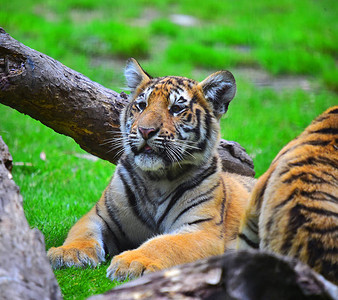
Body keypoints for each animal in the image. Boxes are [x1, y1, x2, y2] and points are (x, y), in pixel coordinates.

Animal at [46, 58, 255, 282]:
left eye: (176, 109)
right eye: (141, 106)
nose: (145, 131)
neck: (157, 178)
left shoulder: (202, 229)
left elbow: (164, 243)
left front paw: (132, 262)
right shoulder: (99, 215)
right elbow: (82, 231)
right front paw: (69, 253)